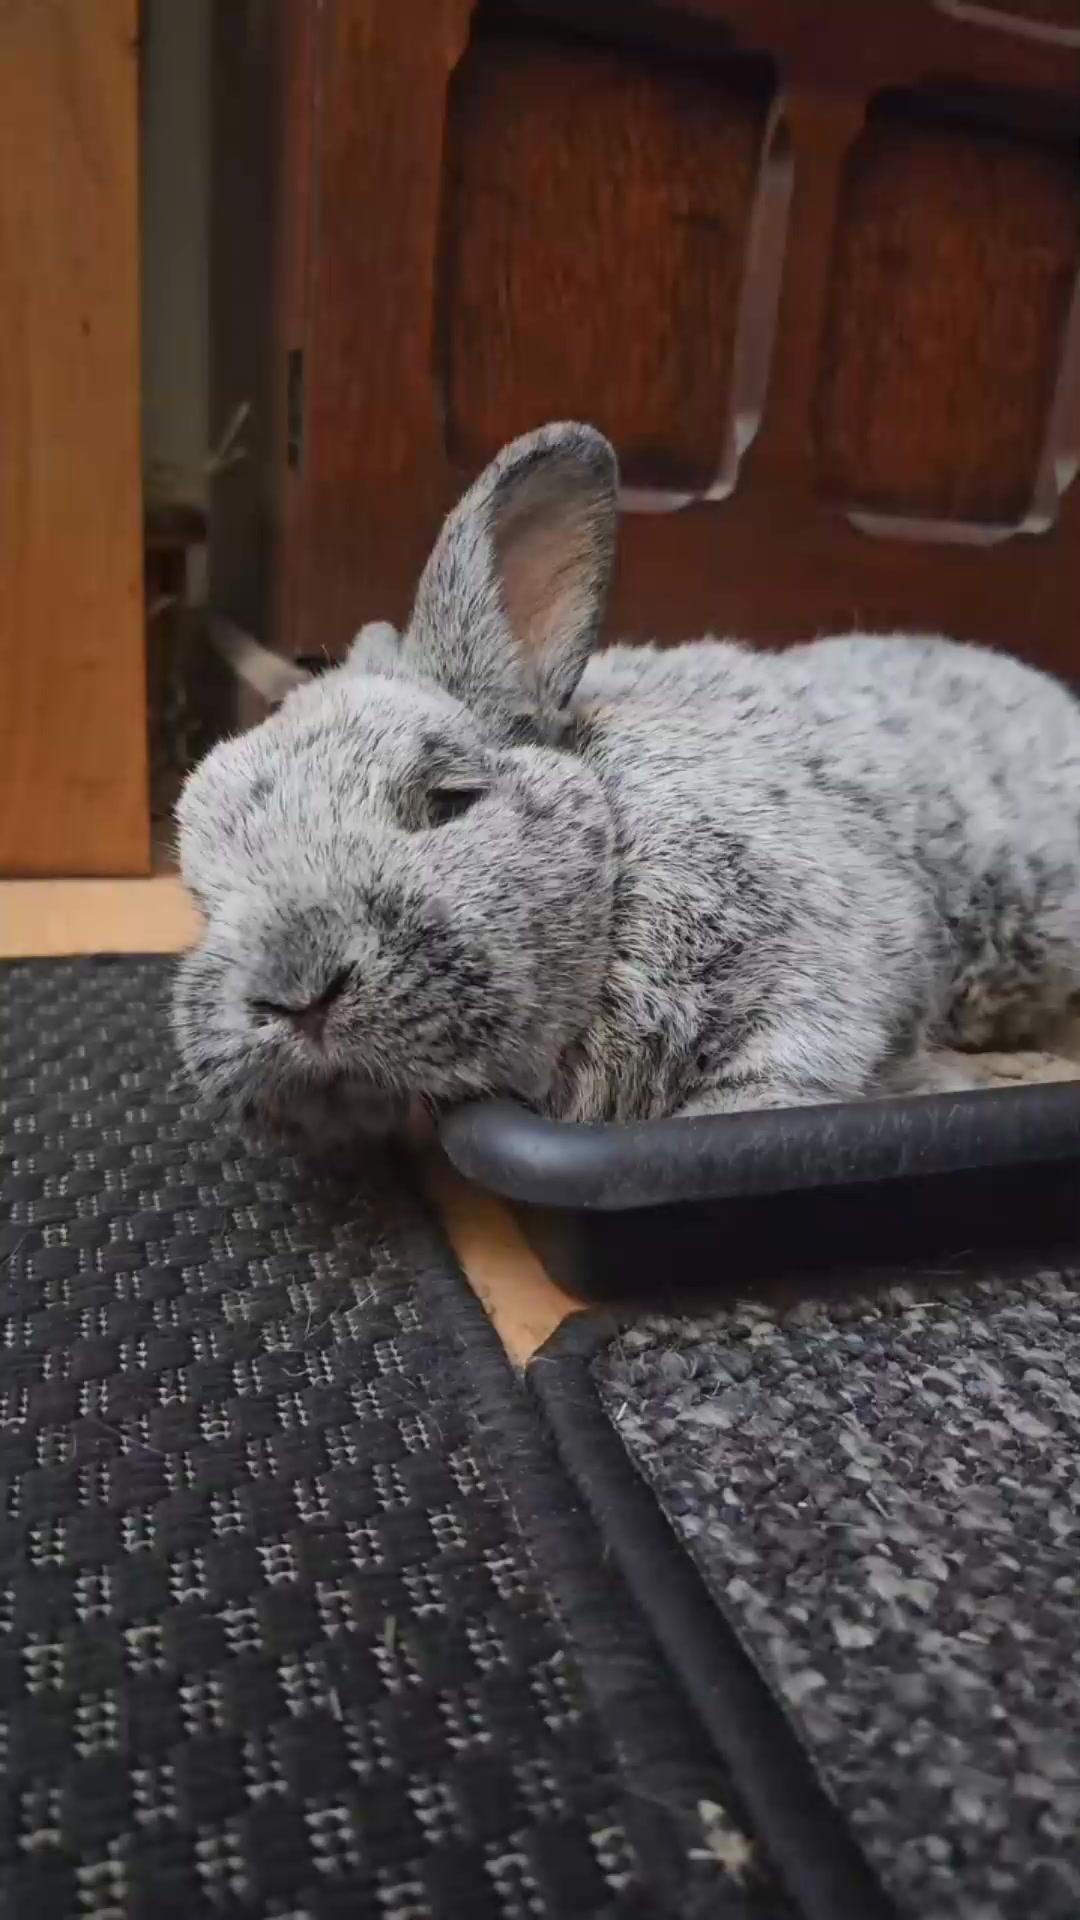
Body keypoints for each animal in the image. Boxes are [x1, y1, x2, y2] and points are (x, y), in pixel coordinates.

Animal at [172, 421, 1080, 1152]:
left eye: (447, 801)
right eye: (201, 895)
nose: (295, 994)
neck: (618, 856)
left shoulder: (834, 960)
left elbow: (787, 1078)